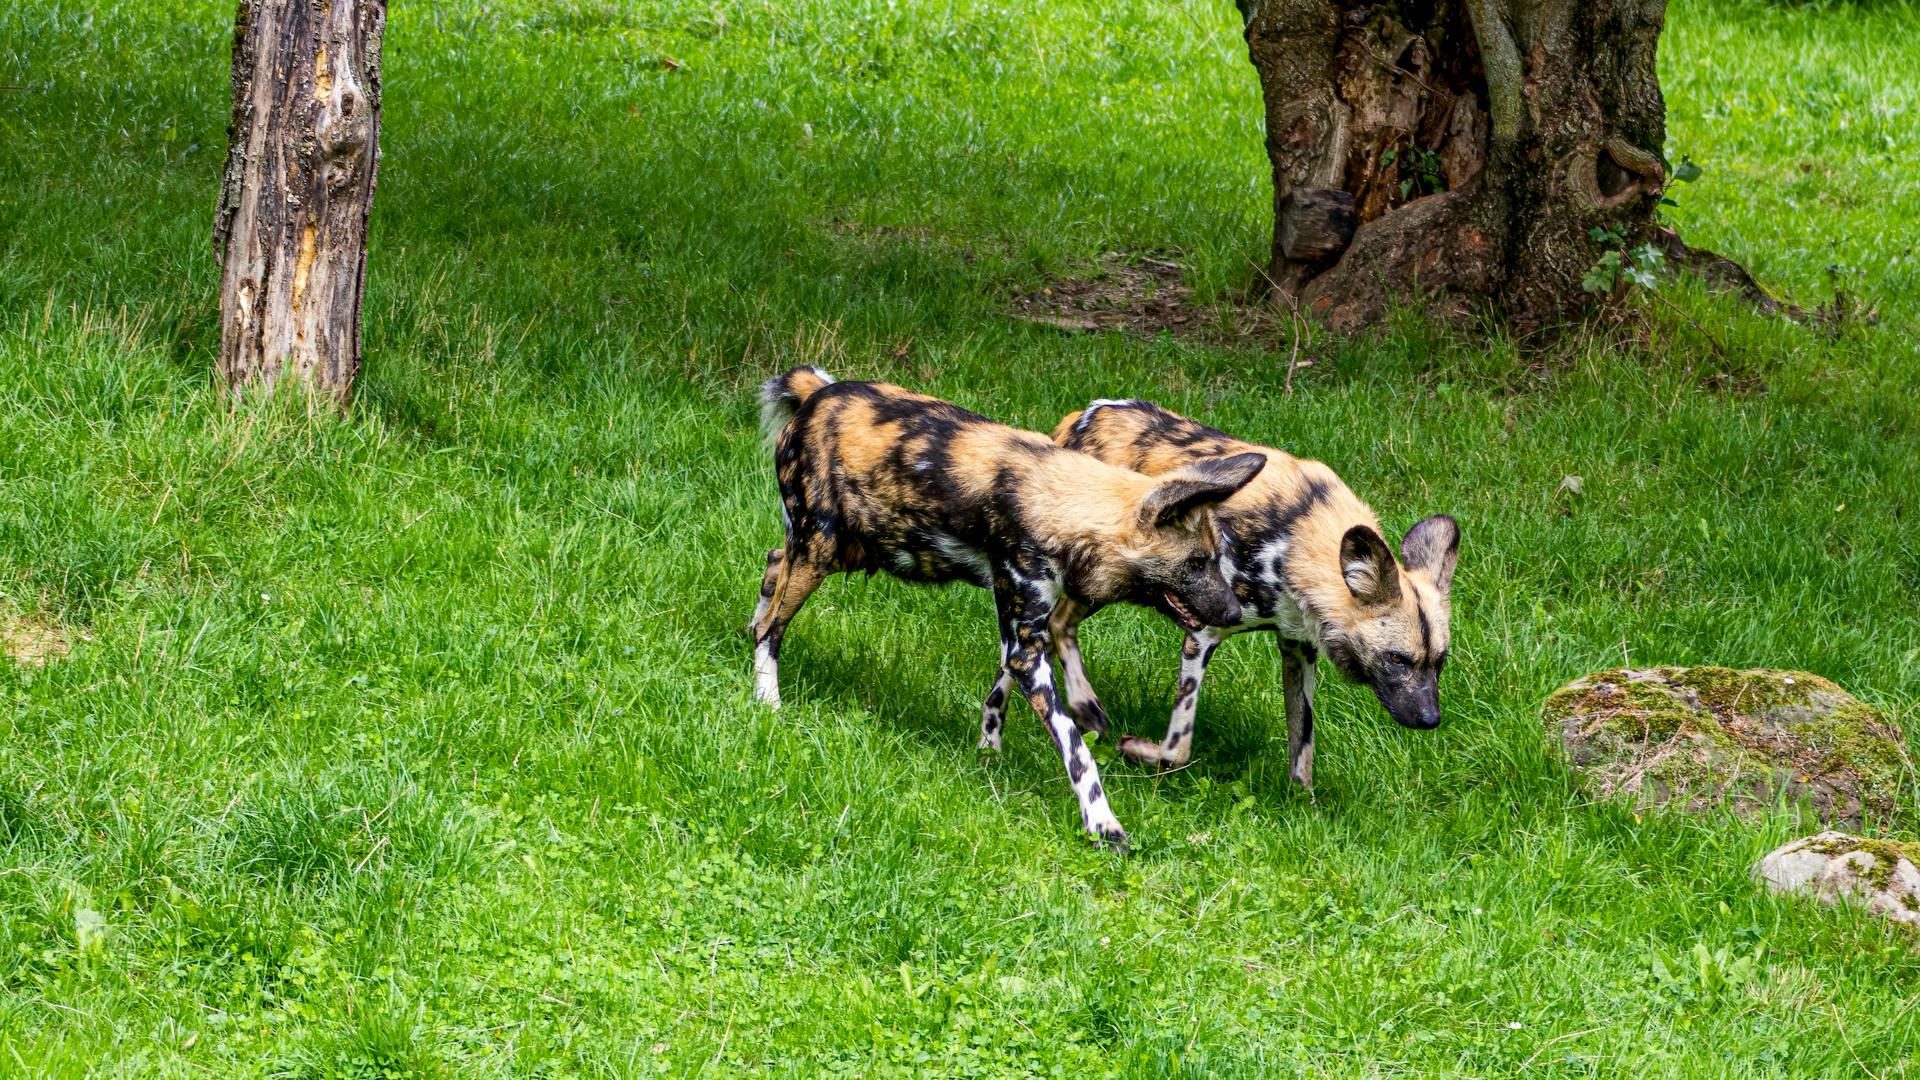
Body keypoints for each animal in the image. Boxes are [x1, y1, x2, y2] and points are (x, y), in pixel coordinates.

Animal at [752, 368, 1274, 849]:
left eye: (1216, 559)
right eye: (1196, 563)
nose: (1233, 614)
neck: (1066, 504)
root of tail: (820, 393)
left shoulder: (1025, 633)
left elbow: (1001, 692)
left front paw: (990, 746)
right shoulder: (1026, 643)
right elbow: (1077, 750)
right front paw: (1102, 824)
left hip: (852, 549)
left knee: (774, 564)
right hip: (823, 546)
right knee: (772, 628)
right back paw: (767, 700)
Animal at [1052, 399, 1451, 787]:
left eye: (1440, 661)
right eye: (1397, 659)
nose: (1430, 719)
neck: (1297, 544)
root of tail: (1082, 416)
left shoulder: (1299, 648)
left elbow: (1303, 747)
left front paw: (1303, 802)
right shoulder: (1204, 630)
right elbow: (1177, 749)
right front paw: (1137, 750)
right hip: (1101, 582)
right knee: (1056, 624)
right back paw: (1084, 705)